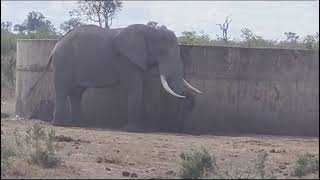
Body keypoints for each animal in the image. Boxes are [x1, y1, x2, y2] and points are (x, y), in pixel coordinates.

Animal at [31, 23, 201, 131]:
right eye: (163, 52)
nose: (189, 100)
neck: (149, 30)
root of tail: (56, 44)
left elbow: (144, 87)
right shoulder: (127, 60)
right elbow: (136, 87)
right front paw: (134, 130)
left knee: (76, 92)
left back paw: (80, 124)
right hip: (63, 62)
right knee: (63, 89)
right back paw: (60, 125)